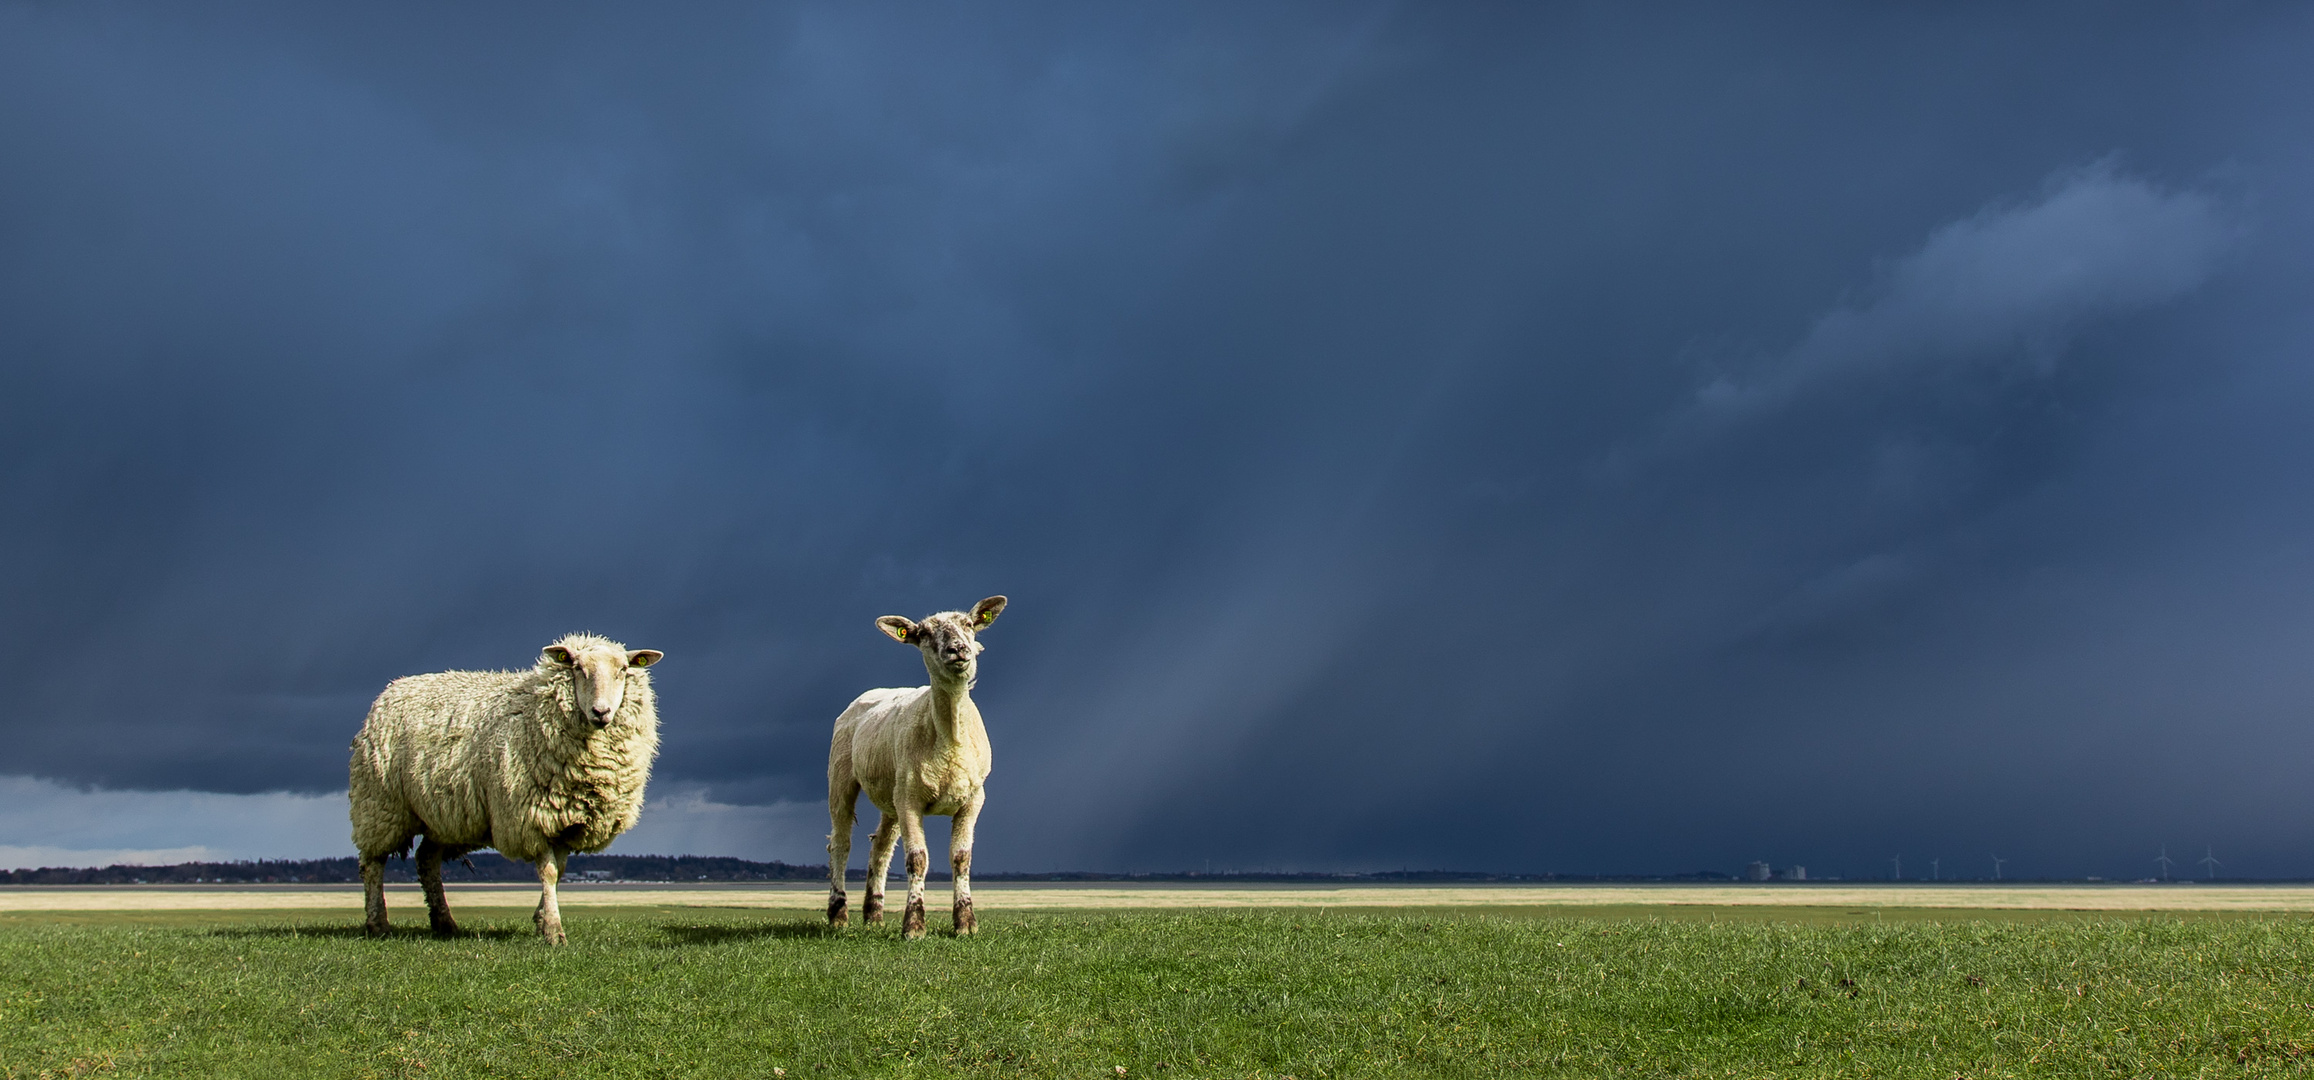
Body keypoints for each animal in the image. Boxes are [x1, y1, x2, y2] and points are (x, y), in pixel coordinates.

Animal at [347, 633, 666, 948]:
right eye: (577, 667)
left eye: (623, 670)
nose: (601, 712)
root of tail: (392, 688)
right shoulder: (534, 817)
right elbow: (549, 872)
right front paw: (553, 930)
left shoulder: (567, 820)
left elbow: (560, 872)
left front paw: (541, 918)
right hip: (380, 804)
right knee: (373, 864)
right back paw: (378, 924)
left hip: (441, 817)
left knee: (426, 859)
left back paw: (444, 923)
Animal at [833, 601, 1013, 938]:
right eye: (924, 633)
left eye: (969, 624)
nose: (958, 649)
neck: (951, 737)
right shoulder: (910, 800)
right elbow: (917, 860)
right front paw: (914, 926)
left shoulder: (973, 799)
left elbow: (961, 858)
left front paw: (965, 923)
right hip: (841, 775)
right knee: (840, 844)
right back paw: (838, 914)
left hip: (890, 796)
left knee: (880, 848)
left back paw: (874, 915)